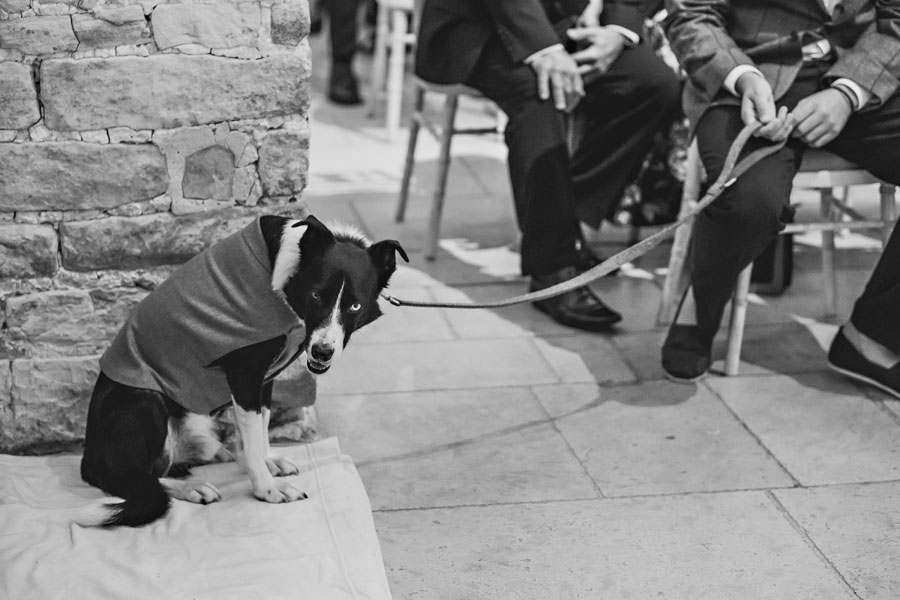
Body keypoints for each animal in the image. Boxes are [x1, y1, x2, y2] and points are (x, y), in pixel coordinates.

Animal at [79, 214, 410, 524]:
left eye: (355, 306)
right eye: (316, 295)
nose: (322, 351)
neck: (283, 275)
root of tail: (88, 459)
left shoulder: (265, 379)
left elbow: (260, 427)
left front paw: (268, 462)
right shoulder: (246, 375)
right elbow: (251, 441)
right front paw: (267, 488)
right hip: (144, 400)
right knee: (135, 480)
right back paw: (191, 487)